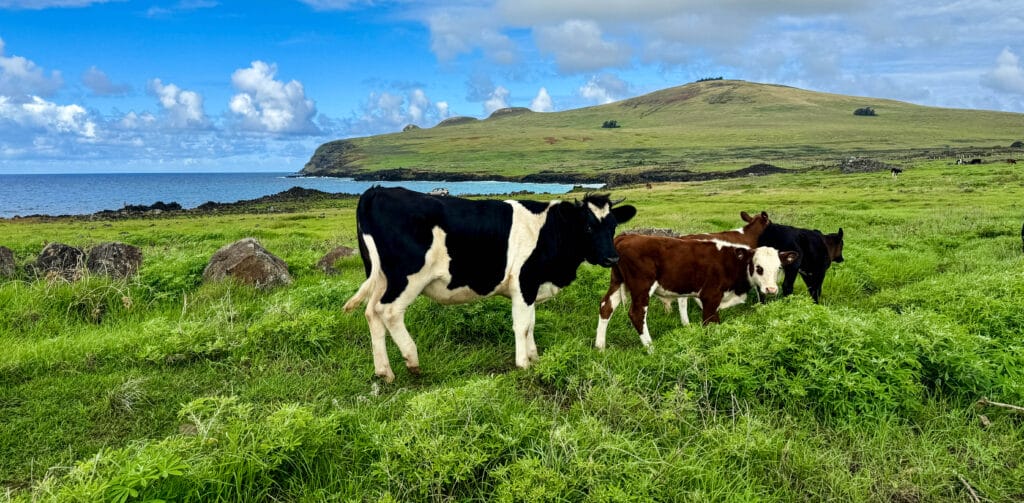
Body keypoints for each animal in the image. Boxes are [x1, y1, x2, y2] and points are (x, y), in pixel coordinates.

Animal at [343, 186, 636, 382]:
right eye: (587, 227)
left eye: (612, 226)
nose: (612, 257)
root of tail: (377, 191)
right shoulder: (524, 282)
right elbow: (522, 325)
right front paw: (523, 363)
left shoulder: (530, 287)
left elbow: (531, 324)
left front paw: (534, 357)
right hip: (407, 277)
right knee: (389, 312)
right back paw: (412, 360)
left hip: (380, 277)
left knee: (371, 313)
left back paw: (384, 371)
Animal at [595, 235, 797, 350]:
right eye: (759, 267)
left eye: (779, 267)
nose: (771, 289)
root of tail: (626, 237)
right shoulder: (710, 297)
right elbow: (710, 323)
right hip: (641, 286)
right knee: (637, 314)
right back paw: (651, 348)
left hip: (617, 281)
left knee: (606, 306)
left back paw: (600, 347)